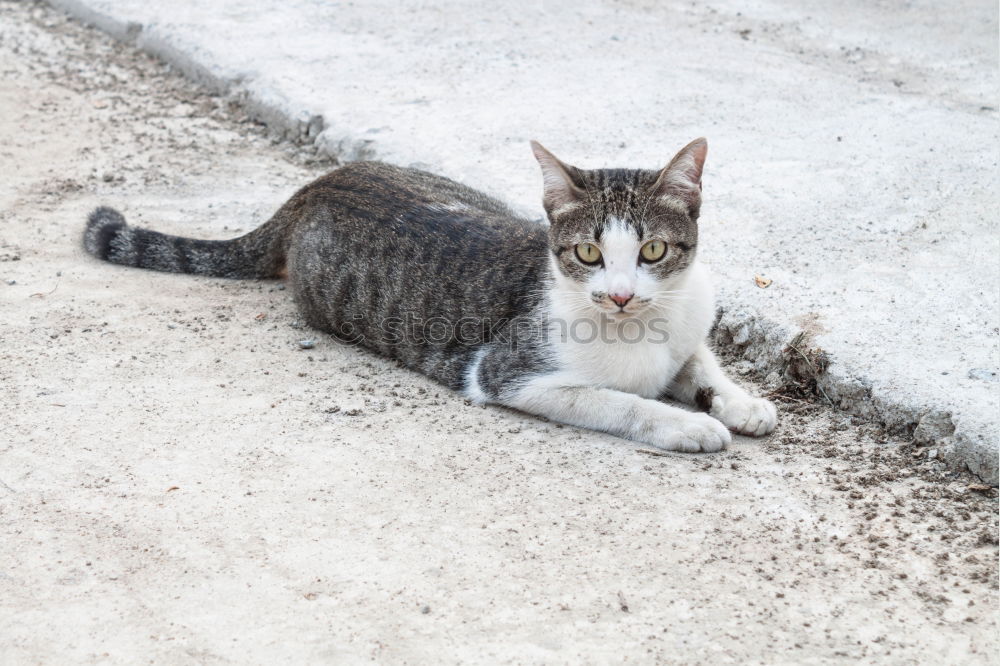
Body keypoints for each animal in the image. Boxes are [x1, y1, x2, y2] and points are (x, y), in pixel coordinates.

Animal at [82, 139, 776, 452]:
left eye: (653, 251)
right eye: (588, 255)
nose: (624, 295)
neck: (644, 330)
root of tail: (321, 182)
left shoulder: (687, 322)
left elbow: (702, 362)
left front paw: (739, 403)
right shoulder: (505, 373)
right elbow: (617, 401)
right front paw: (687, 423)